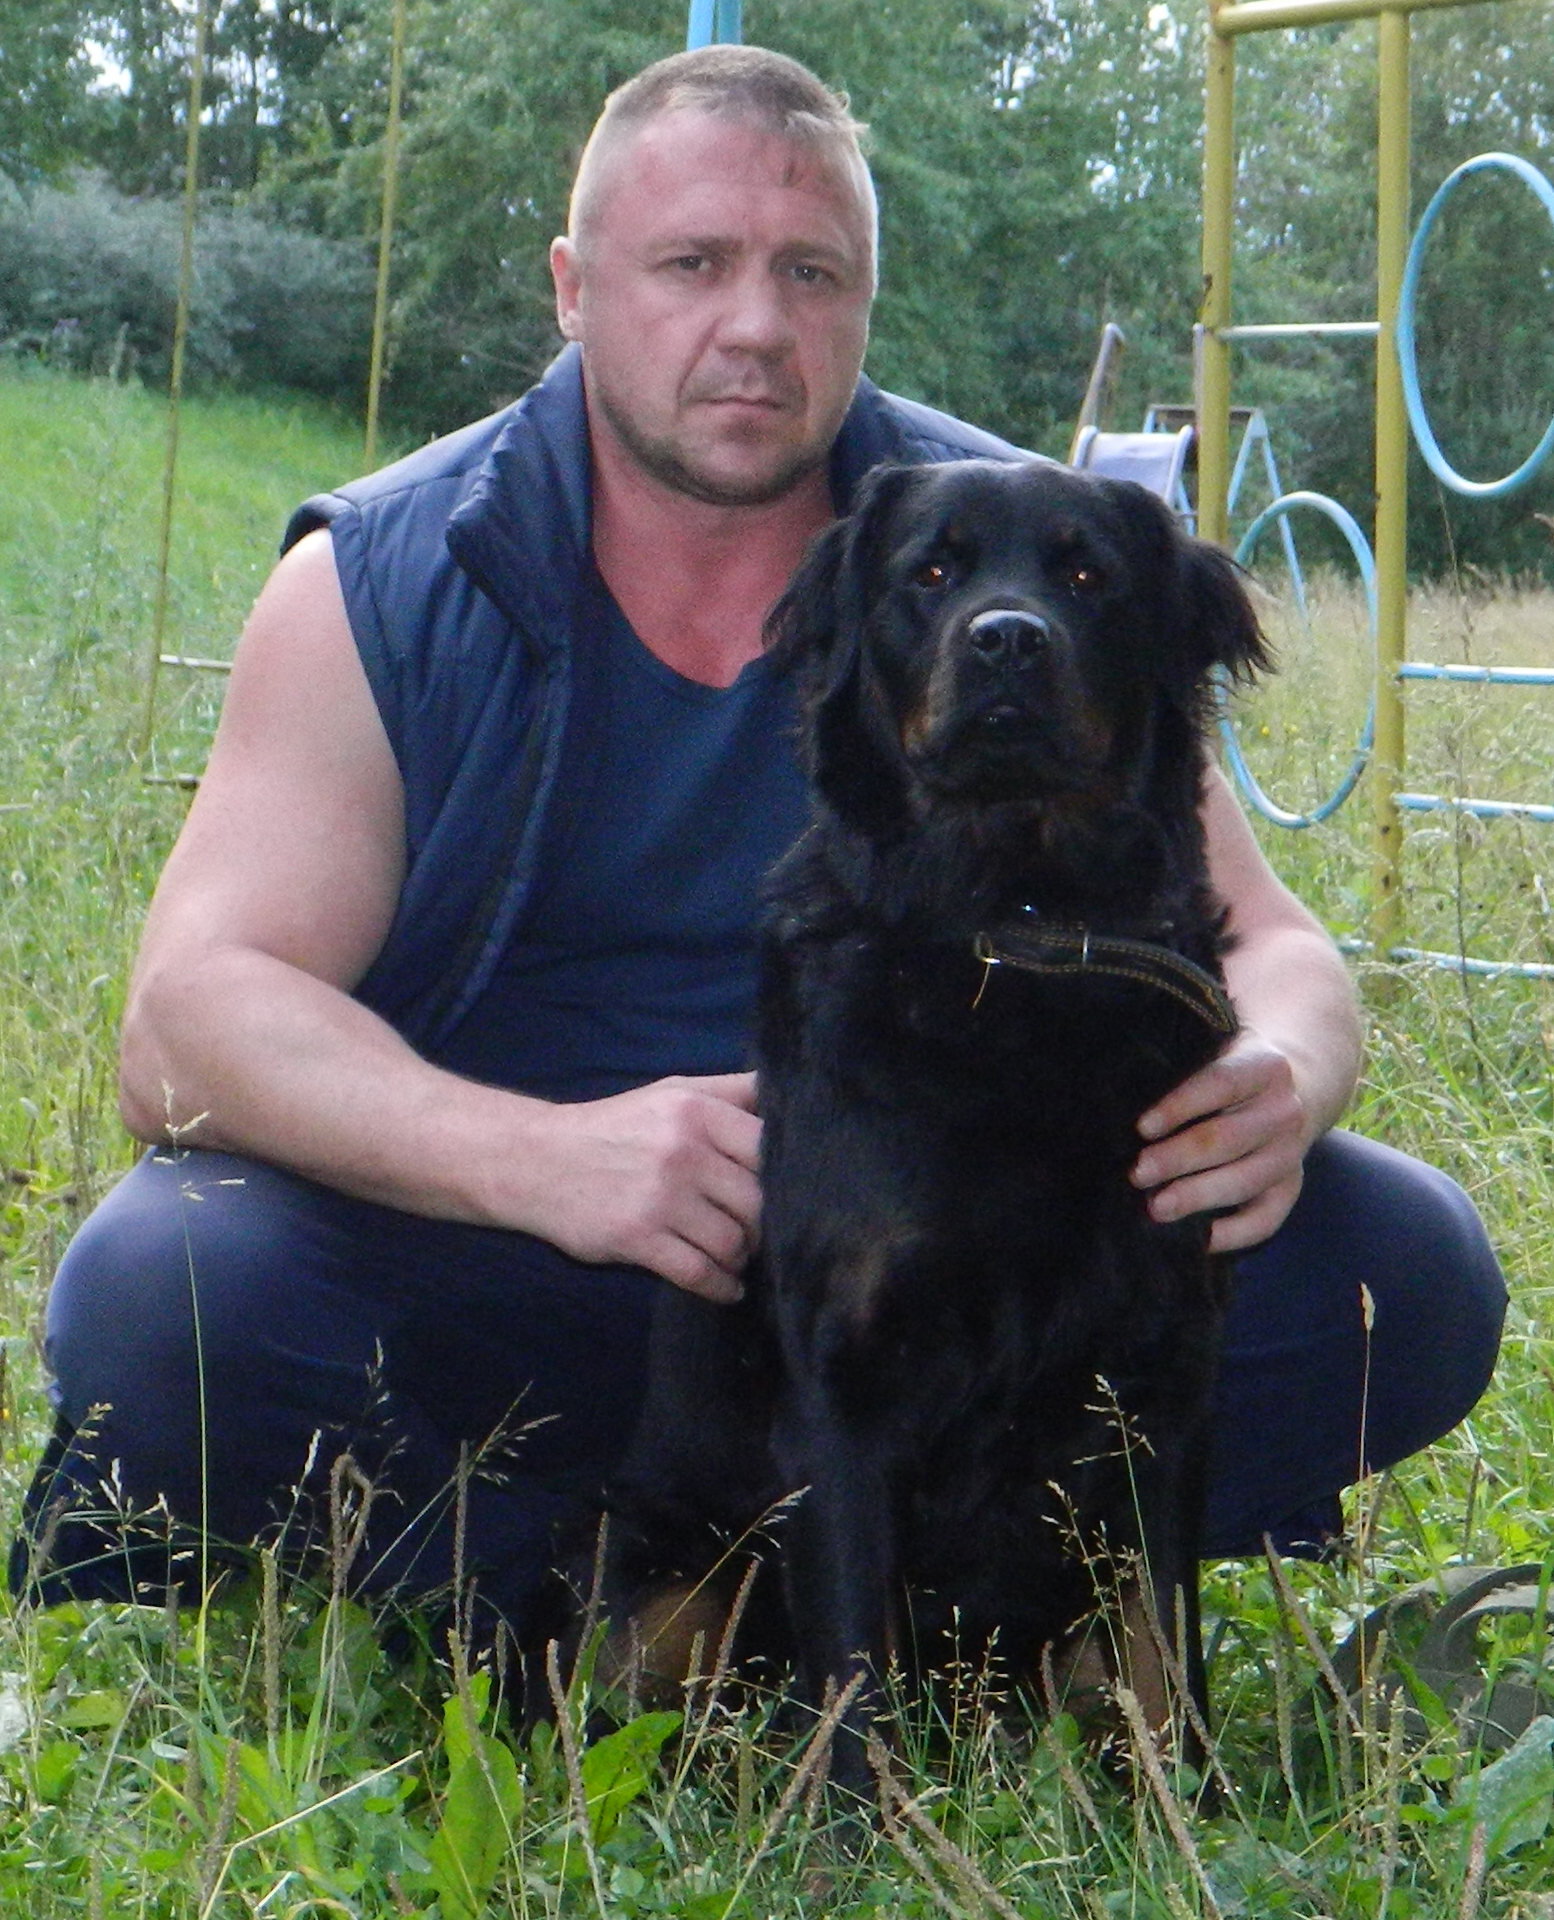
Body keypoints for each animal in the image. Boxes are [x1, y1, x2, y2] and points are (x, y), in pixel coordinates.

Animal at [590, 457, 1269, 1789]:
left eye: (1086, 573)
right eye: (933, 571)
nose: (1007, 640)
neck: (1016, 929)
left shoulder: (1167, 1376)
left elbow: (1164, 1646)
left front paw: (1193, 1811)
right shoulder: (845, 1379)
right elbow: (856, 1656)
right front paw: (861, 1825)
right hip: (668, 1584)